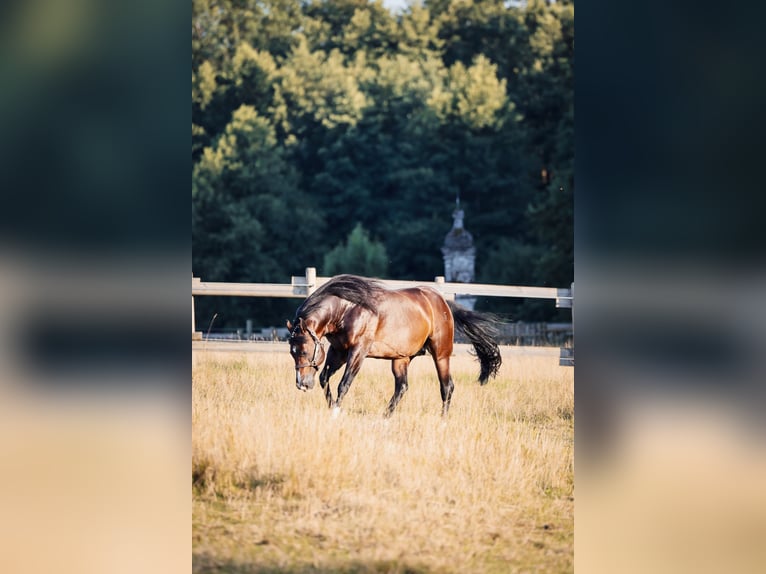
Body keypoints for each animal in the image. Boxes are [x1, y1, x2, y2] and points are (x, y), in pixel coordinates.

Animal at [287, 275, 502, 416]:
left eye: (304, 350)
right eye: (292, 353)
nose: (302, 384)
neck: (346, 310)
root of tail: (443, 302)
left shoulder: (358, 351)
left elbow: (344, 384)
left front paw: (336, 413)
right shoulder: (338, 351)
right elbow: (324, 378)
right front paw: (333, 407)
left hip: (441, 354)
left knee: (447, 386)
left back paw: (443, 420)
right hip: (401, 359)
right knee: (402, 387)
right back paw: (385, 417)